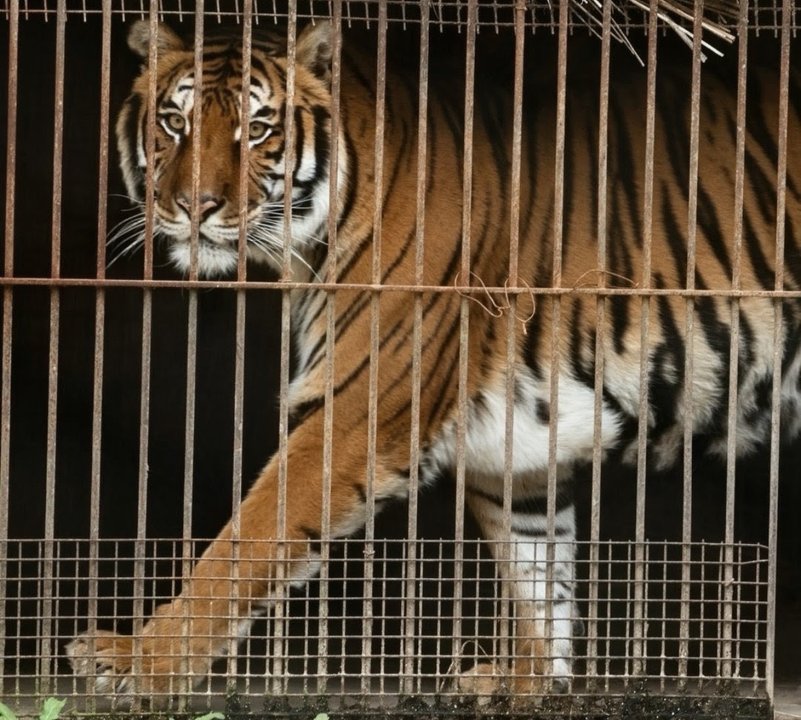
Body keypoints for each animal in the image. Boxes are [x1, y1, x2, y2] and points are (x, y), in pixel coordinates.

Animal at [66, 17, 801, 706]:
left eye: (257, 128)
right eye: (173, 122)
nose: (193, 208)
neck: (311, 240)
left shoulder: (358, 411)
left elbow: (244, 543)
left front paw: (141, 664)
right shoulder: (518, 452)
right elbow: (537, 579)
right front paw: (527, 684)